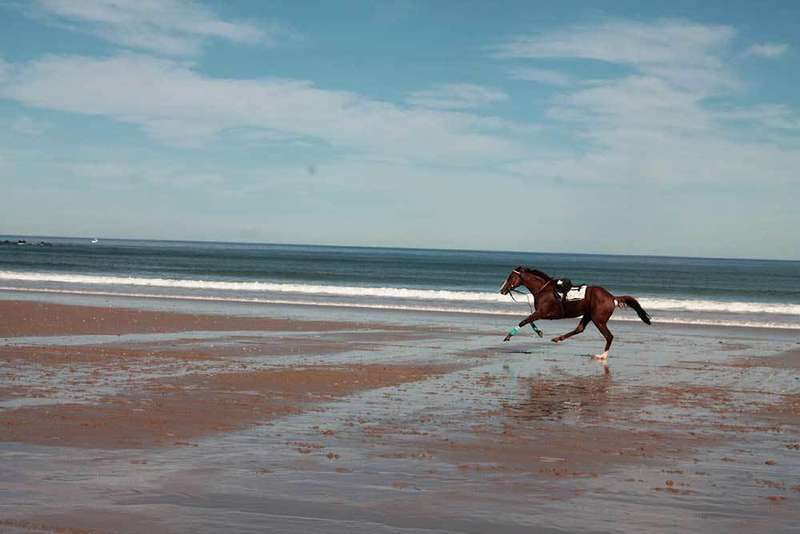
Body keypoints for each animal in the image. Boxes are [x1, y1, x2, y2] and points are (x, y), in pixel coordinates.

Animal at [499, 266, 651, 360]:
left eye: (511, 277)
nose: (502, 290)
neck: (543, 290)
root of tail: (612, 297)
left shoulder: (544, 312)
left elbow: (524, 320)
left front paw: (508, 336)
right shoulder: (541, 313)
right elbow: (529, 320)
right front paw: (539, 332)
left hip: (598, 320)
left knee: (609, 336)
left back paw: (602, 356)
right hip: (588, 315)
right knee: (580, 329)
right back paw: (558, 338)